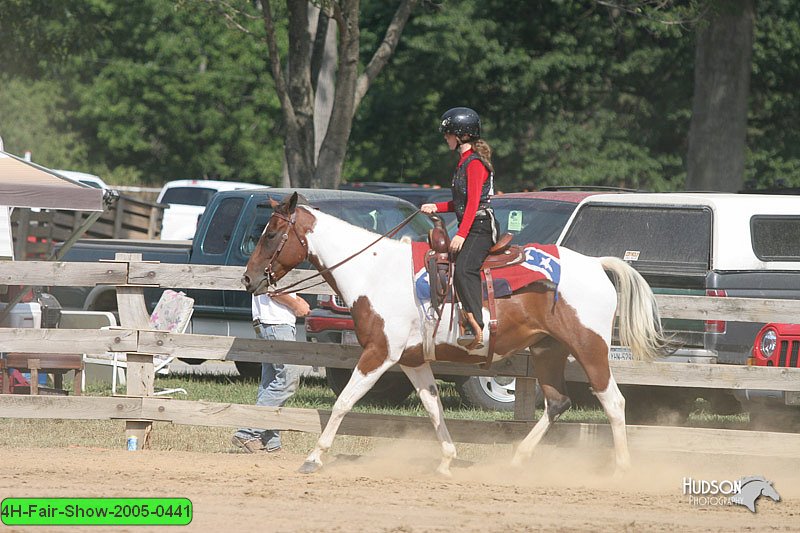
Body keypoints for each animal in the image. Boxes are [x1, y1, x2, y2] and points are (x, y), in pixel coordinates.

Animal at [242, 193, 668, 476]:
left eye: (271, 234)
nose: (248, 279)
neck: (373, 271)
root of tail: (596, 264)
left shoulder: (379, 353)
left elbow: (345, 401)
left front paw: (314, 458)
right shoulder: (412, 359)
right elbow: (433, 407)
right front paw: (447, 459)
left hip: (589, 347)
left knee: (613, 401)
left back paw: (621, 467)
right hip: (548, 351)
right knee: (558, 402)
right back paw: (518, 458)